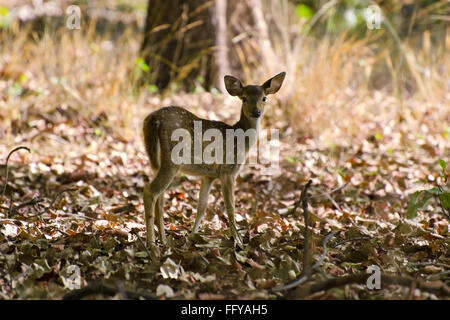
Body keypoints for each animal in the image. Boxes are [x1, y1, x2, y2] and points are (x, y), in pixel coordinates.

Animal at [142, 72, 286, 255]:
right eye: (244, 98)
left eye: (264, 98)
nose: (256, 112)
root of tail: (153, 120)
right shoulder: (228, 171)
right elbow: (230, 207)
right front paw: (239, 242)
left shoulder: (208, 175)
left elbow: (201, 206)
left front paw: (190, 239)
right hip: (172, 161)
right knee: (150, 191)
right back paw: (152, 246)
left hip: (155, 160)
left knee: (159, 197)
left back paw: (163, 240)